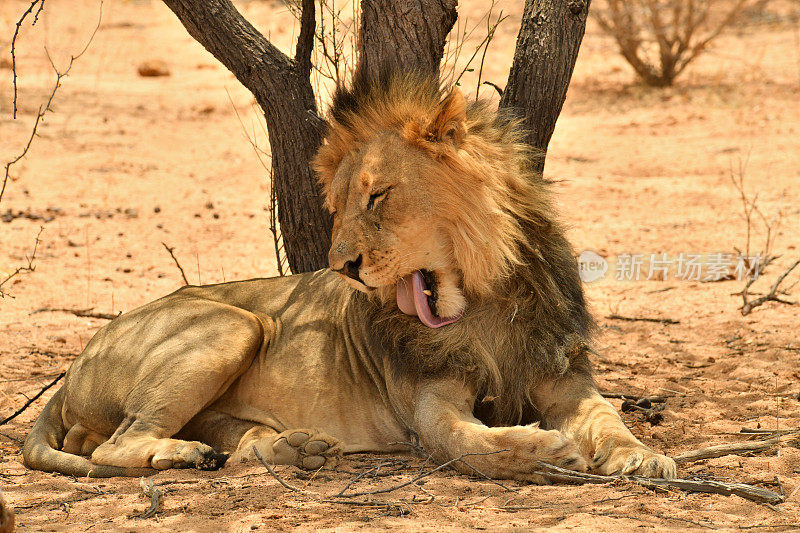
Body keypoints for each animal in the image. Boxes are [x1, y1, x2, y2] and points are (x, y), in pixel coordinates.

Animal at [21, 68, 676, 480]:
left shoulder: (564, 378)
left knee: (226, 442)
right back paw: (182, 457)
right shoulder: (429, 406)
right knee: (115, 445)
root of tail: (72, 367)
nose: (344, 268)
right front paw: (546, 451)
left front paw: (642, 457)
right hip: (234, 324)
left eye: (377, 197)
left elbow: (609, 418)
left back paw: (292, 448)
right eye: (337, 206)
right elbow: (472, 444)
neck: (483, 301)